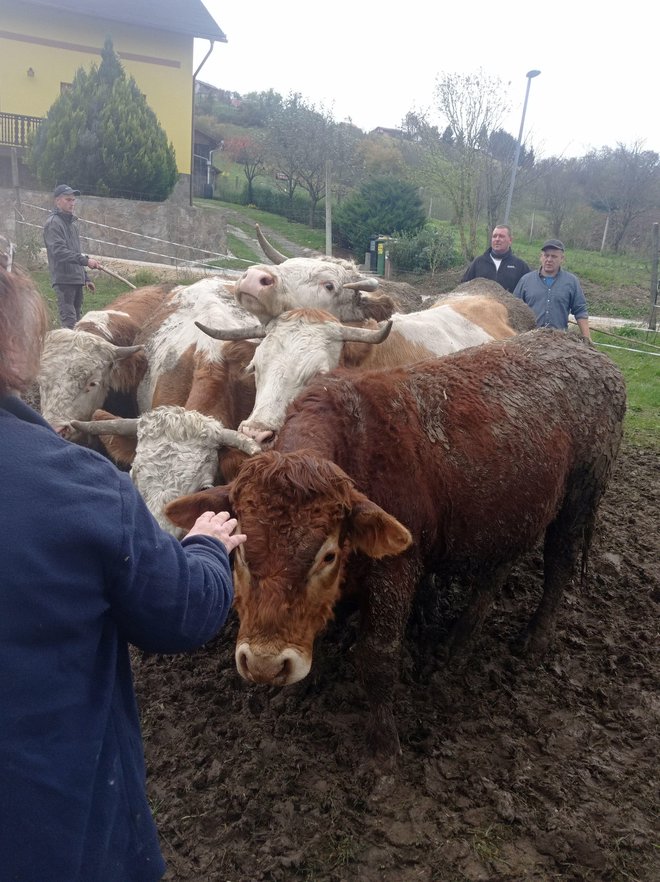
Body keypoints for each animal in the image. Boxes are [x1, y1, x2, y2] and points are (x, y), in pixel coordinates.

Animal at [165, 330, 624, 756]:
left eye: (328, 554)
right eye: (241, 548)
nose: (264, 664)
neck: (357, 445)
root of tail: (588, 351)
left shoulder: (397, 569)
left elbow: (378, 656)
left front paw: (384, 745)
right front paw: (292, 691)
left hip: (578, 500)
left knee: (559, 565)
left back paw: (534, 638)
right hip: (511, 514)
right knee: (497, 570)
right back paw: (457, 642)